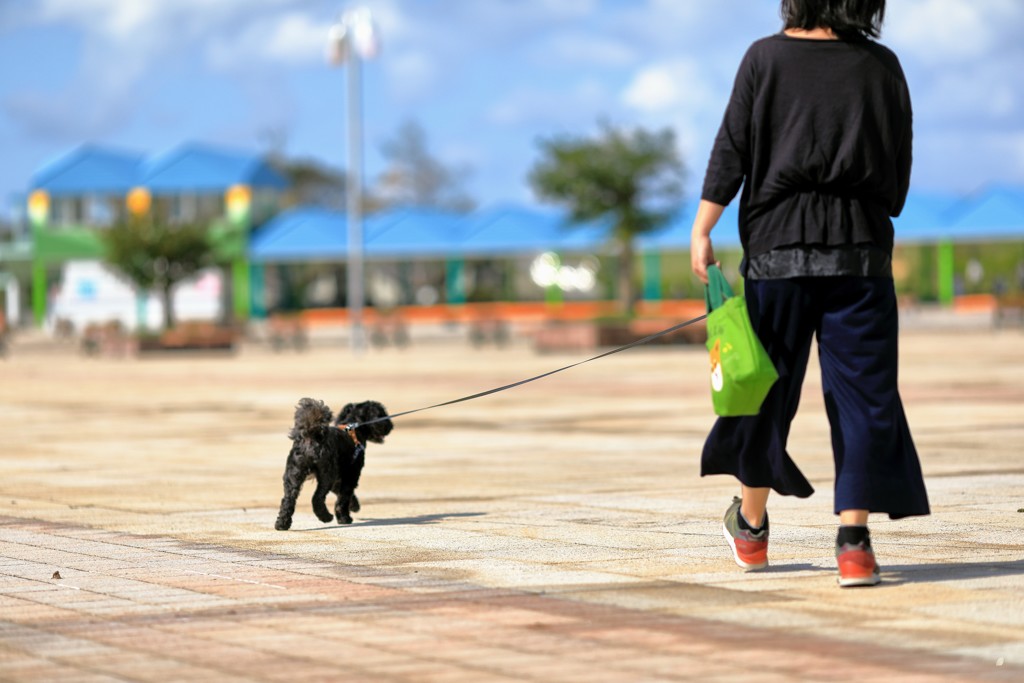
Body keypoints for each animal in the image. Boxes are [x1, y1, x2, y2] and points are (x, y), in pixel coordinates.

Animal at [272, 397, 391, 532]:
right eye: (382, 414)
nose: (390, 426)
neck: (355, 429)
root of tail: (312, 436)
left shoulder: (339, 478)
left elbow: (342, 493)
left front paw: (354, 505)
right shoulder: (351, 475)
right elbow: (344, 497)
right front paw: (344, 518)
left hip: (293, 476)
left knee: (288, 500)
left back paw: (282, 524)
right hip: (327, 475)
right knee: (317, 498)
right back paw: (326, 517)